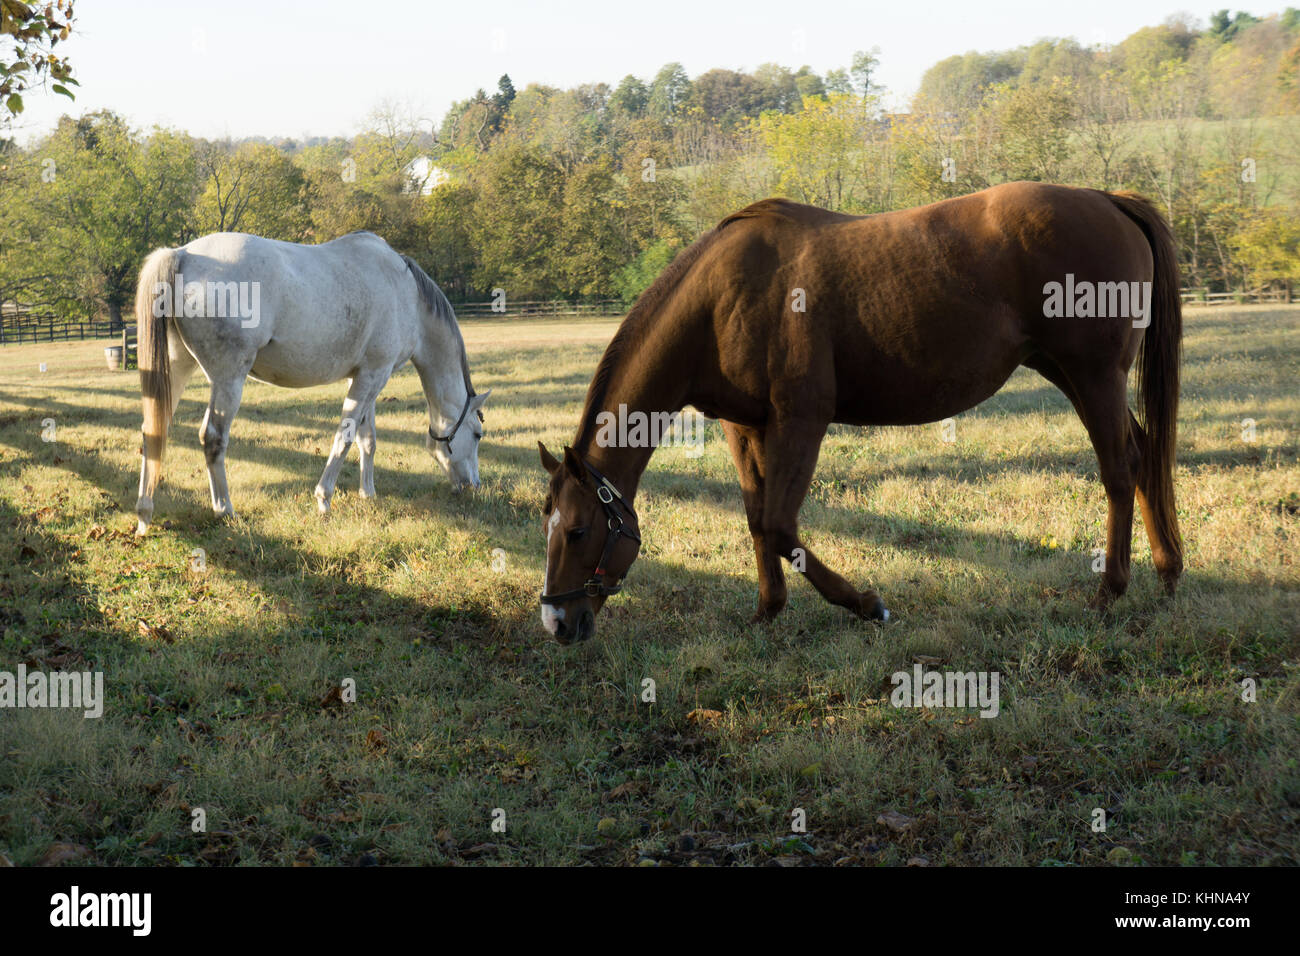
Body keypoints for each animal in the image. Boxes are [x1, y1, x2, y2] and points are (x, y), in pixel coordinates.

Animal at [131, 228, 488, 535]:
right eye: (478, 434)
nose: (473, 486)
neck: (406, 294)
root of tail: (182, 254)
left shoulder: (367, 377)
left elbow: (367, 439)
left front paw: (368, 493)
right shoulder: (373, 376)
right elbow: (345, 437)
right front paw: (324, 499)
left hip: (177, 367)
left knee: (153, 430)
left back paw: (145, 514)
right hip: (228, 378)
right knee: (213, 437)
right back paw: (225, 509)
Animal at [533, 180, 1185, 642]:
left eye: (579, 529)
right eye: (551, 528)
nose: (558, 624)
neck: (721, 299)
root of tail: (1109, 200)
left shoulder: (800, 419)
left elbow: (780, 525)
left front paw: (868, 605)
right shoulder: (745, 427)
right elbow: (757, 520)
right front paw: (767, 612)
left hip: (1093, 376)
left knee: (1120, 469)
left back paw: (1111, 590)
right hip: (1071, 374)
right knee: (1145, 452)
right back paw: (1168, 570)